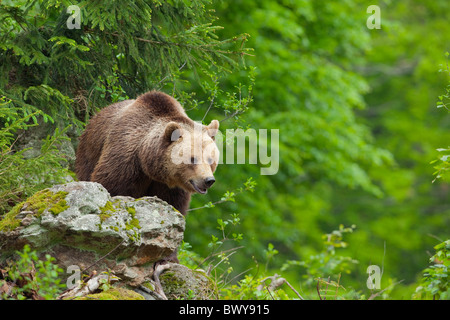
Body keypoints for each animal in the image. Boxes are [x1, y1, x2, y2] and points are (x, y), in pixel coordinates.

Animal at [75, 90, 220, 215]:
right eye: (192, 158)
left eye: (210, 160)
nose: (208, 180)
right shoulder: (125, 159)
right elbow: (111, 185)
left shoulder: (171, 188)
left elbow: (173, 204)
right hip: (89, 151)